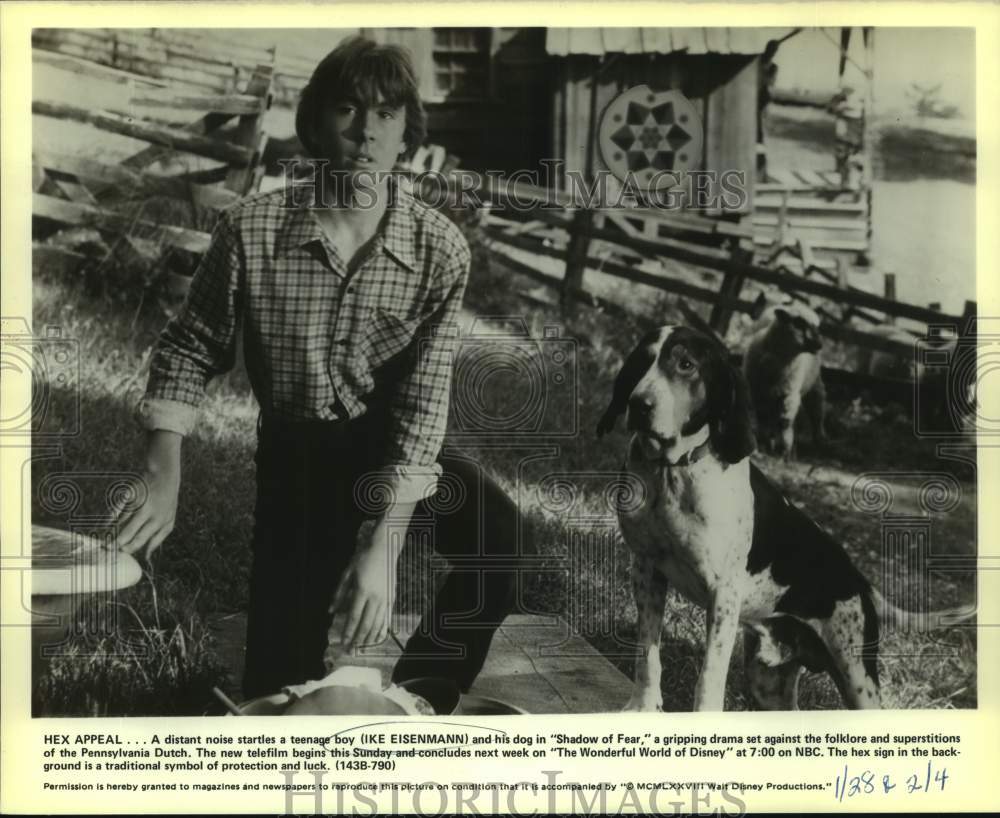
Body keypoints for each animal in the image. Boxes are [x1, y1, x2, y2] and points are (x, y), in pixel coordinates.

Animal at [596, 326, 964, 708]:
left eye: (686, 364)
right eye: (642, 359)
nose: (639, 405)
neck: (673, 472)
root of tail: (860, 580)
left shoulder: (722, 597)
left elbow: (708, 680)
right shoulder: (647, 571)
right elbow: (647, 656)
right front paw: (642, 707)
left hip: (858, 678)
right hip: (768, 684)